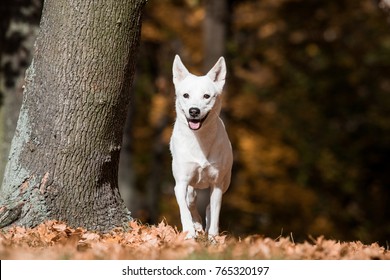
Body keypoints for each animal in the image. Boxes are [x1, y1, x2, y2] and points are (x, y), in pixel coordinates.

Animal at [170, 55, 232, 240]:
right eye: (186, 95)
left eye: (206, 96)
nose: (194, 111)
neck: (199, 141)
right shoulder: (181, 182)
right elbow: (184, 208)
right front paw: (190, 233)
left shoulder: (217, 183)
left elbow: (215, 212)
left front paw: (213, 238)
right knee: (191, 199)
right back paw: (196, 225)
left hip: (225, 181)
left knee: (210, 206)